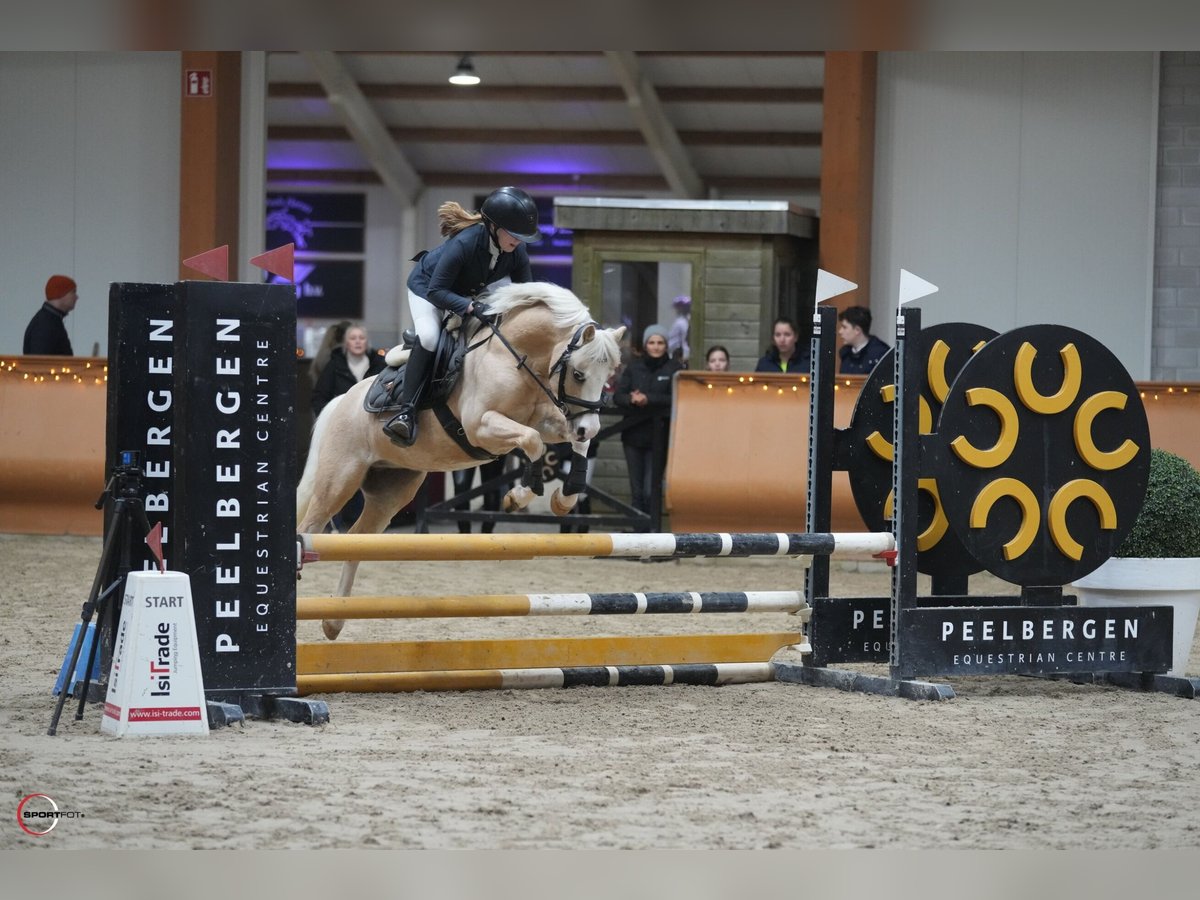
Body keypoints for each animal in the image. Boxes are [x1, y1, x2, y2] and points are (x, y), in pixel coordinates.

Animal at [297, 281, 626, 640]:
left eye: (609, 375)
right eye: (578, 374)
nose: (587, 425)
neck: (515, 358)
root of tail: (340, 401)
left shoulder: (550, 421)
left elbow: (570, 443)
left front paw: (564, 498)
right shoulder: (481, 426)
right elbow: (532, 442)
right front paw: (519, 495)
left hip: (391, 492)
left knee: (356, 540)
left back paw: (333, 622)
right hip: (339, 480)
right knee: (309, 529)